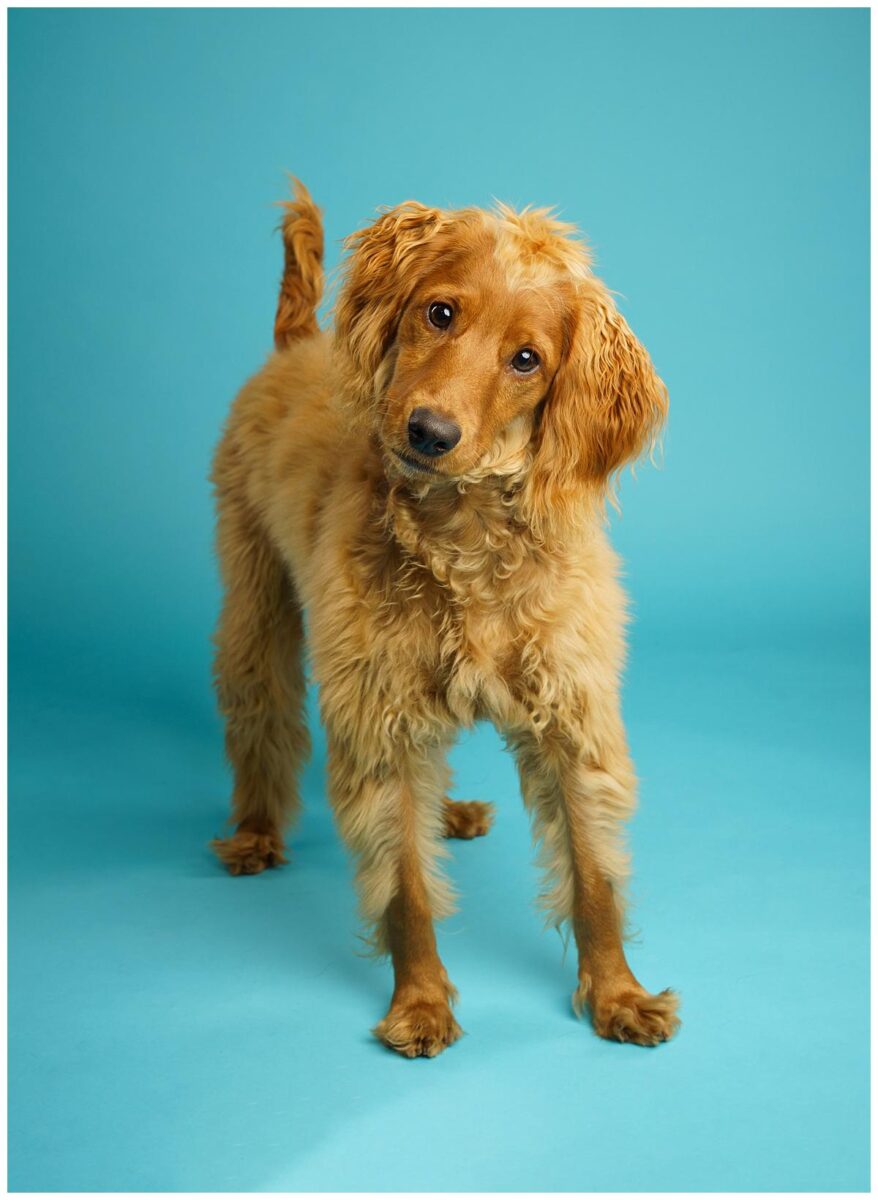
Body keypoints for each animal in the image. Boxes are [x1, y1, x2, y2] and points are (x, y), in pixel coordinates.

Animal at [211, 180, 681, 1060]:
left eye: (528, 360)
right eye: (439, 313)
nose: (429, 433)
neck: (466, 531)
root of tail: (300, 342)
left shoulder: (574, 718)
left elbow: (594, 877)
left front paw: (617, 994)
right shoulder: (379, 720)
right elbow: (405, 887)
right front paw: (420, 1002)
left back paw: (451, 811)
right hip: (254, 606)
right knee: (259, 711)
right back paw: (255, 832)